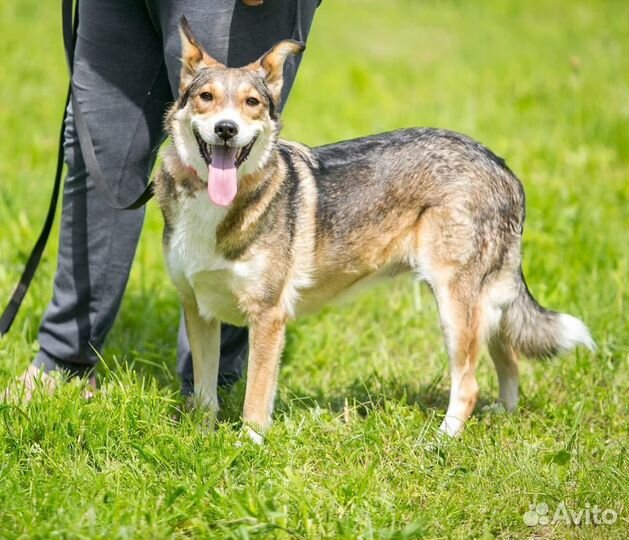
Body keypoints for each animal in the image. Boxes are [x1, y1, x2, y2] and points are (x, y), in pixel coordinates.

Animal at [153, 17, 592, 442]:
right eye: (205, 97)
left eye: (252, 103)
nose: (226, 129)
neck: (214, 206)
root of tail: (501, 166)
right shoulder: (197, 310)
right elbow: (205, 395)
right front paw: (201, 441)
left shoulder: (268, 317)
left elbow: (255, 403)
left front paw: (247, 449)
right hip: (484, 302)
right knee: (508, 358)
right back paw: (502, 416)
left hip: (453, 302)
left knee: (469, 385)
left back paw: (442, 442)